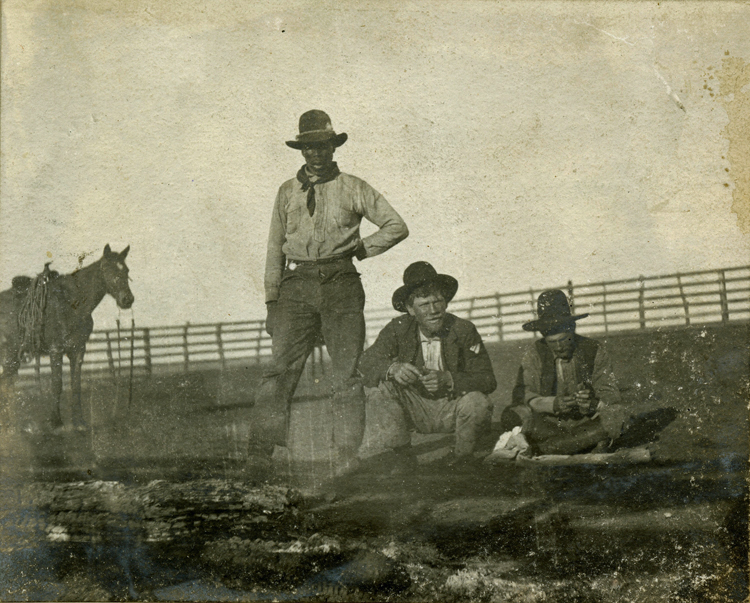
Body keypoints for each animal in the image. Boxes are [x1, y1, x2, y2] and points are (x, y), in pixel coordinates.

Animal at [0, 243, 134, 432]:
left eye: (126, 270)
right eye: (107, 269)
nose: (127, 299)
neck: (71, 304)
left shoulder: (78, 350)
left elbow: (75, 385)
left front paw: (79, 422)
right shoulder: (56, 350)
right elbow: (57, 385)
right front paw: (56, 422)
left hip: (12, 358)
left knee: (6, 385)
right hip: (9, 356)